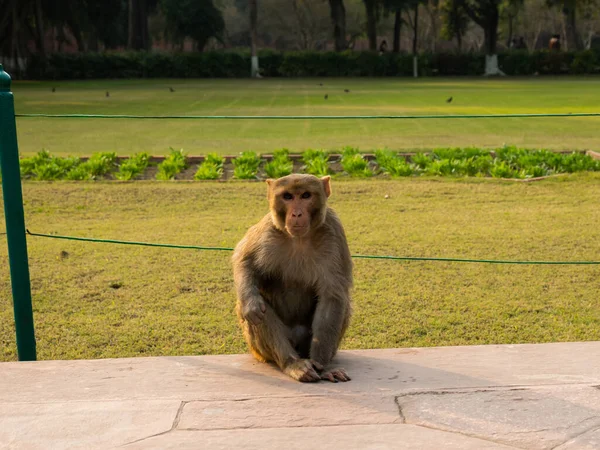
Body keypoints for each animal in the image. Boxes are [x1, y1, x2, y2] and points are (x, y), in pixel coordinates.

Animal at [231, 174, 352, 382]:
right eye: (287, 196)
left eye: (305, 195)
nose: (296, 214)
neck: (300, 239)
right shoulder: (268, 229)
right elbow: (244, 260)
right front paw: (251, 303)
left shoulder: (334, 232)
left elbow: (332, 297)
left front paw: (322, 367)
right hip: (261, 352)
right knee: (255, 310)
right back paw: (292, 363)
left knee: (343, 303)